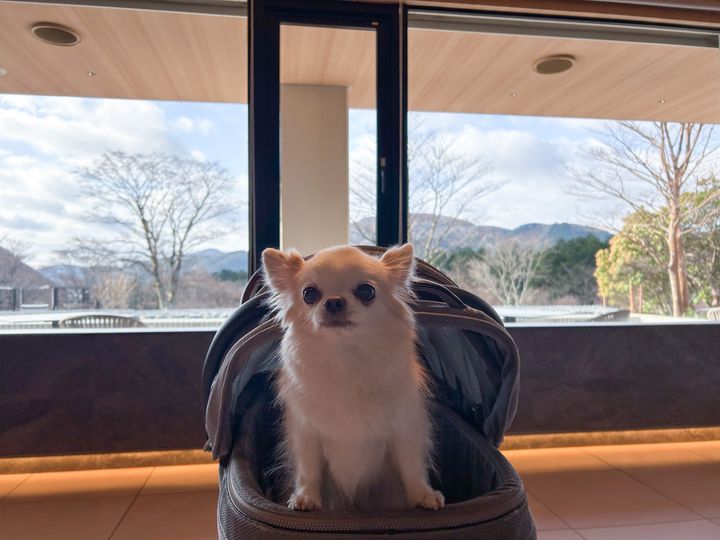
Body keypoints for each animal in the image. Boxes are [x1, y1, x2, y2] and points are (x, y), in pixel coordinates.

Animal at [261, 244, 444, 512]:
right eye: (309, 293)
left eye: (366, 291)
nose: (334, 301)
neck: (345, 356)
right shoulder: (306, 433)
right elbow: (308, 470)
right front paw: (306, 497)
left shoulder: (405, 429)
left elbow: (410, 466)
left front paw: (422, 495)